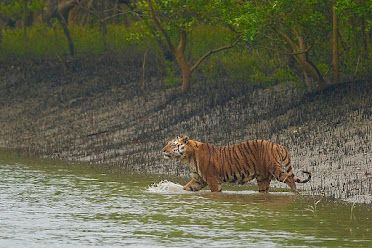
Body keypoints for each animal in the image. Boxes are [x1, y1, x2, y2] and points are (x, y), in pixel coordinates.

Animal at [163, 135, 310, 193]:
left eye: (172, 144)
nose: (163, 150)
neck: (188, 156)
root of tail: (279, 145)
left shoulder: (212, 179)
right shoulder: (198, 180)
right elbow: (186, 188)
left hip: (275, 169)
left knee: (290, 179)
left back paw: (295, 194)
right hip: (263, 178)